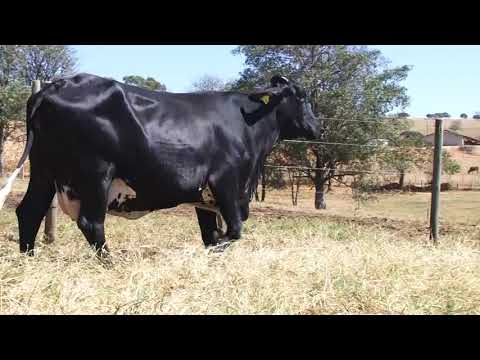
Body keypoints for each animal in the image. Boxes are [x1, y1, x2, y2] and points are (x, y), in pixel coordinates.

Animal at [0, 74, 322, 256]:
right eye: (301, 97)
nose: (316, 127)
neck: (247, 124)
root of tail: (57, 85)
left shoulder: (205, 198)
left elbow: (211, 236)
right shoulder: (226, 183)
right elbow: (233, 231)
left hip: (44, 170)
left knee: (29, 212)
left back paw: (29, 259)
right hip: (95, 174)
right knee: (91, 223)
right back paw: (111, 264)